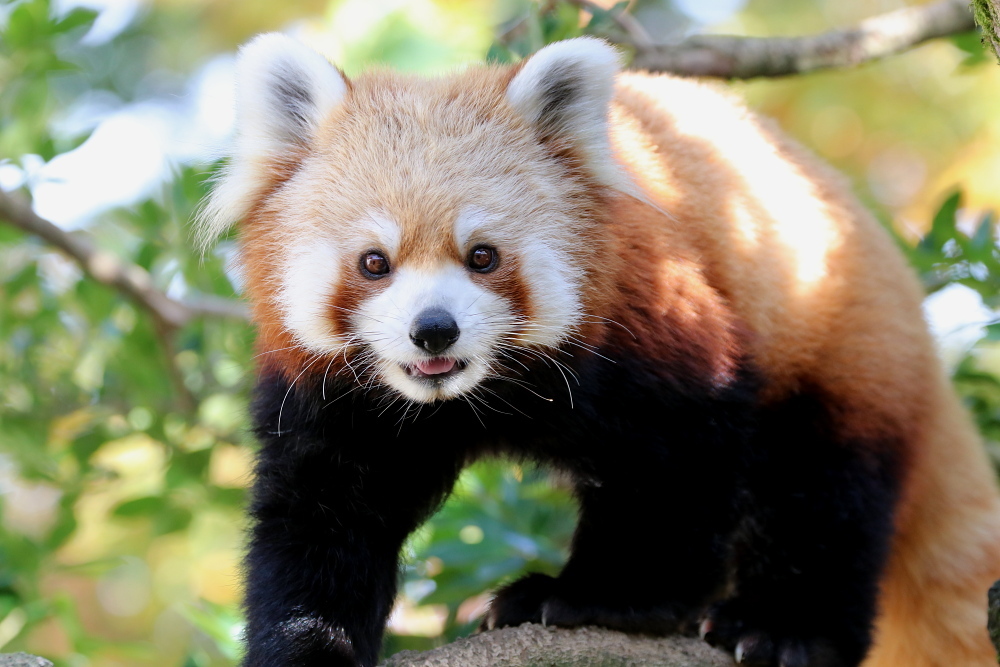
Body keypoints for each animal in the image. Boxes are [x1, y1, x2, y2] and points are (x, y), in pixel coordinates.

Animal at [197, 34, 1000, 667]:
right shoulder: (334, 397)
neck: (479, 392)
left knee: (823, 497)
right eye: (374, 262)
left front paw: (599, 599)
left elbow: (674, 469)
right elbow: (325, 516)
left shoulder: (655, 333)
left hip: (841, 351)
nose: (434, 329)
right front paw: (308, 644)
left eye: (482, 256)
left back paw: (784, 630)